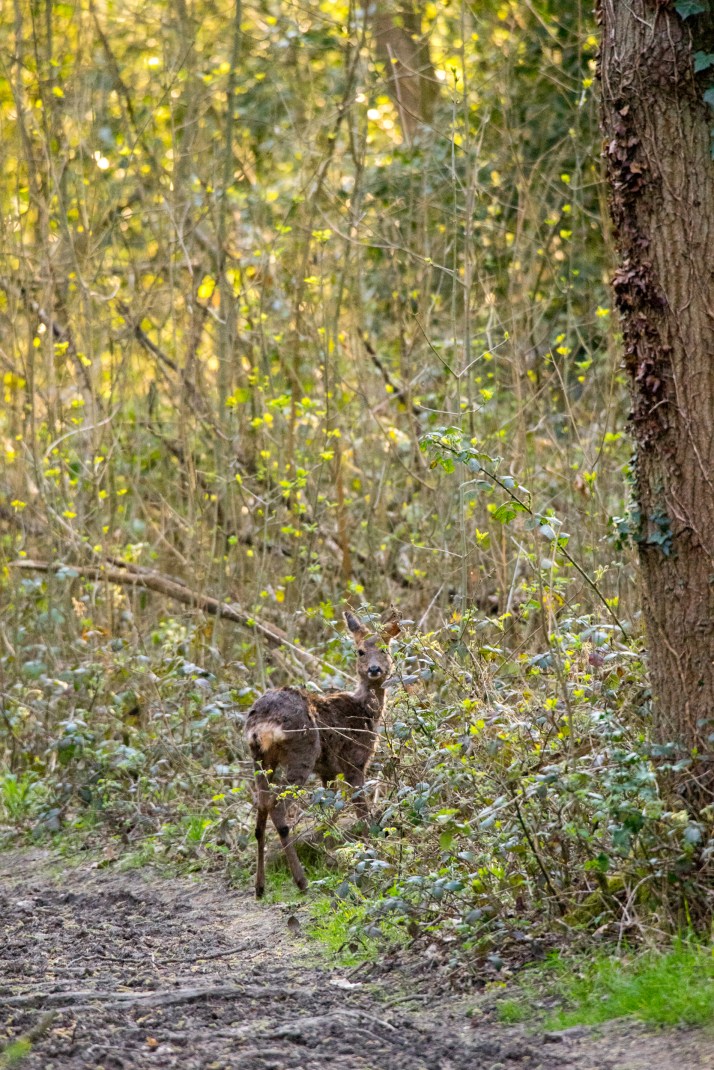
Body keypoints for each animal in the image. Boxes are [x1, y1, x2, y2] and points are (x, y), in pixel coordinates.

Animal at [244, 609, 401, 898]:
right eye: (360, 651)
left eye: (385, 649)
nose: (375, 669)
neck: (365, 712)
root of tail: (261, 726)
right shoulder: (354, 762)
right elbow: (362, 811)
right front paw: (370, 849)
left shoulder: (327, 772)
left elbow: (330, 810)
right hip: (301, 753)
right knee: (277, 805)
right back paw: (301, 881)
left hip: (260, 759)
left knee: (261, 808)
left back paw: (260, 887)